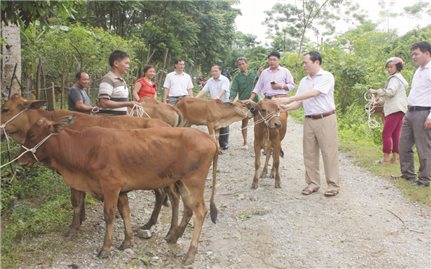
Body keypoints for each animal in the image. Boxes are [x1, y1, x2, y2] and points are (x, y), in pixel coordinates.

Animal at [0, 93, 178, 238]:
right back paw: (150, 223)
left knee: (165, 195)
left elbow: (76, 200)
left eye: (5, 108)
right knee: (161, 195)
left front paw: (74, 226)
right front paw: (81, 219)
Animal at [16, 119, 219, 264]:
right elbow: (124, 211)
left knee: (200, 211)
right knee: (187, 207)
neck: (85, 150)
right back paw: (173, 236)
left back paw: (190, 254)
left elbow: (109, 215)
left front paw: (106, 249)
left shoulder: (110, 186)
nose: (19, 160)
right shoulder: (119, 190)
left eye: (32, 134)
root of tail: (208, 138)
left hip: (193, 182)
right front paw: (127, 241)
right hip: (182, 182)